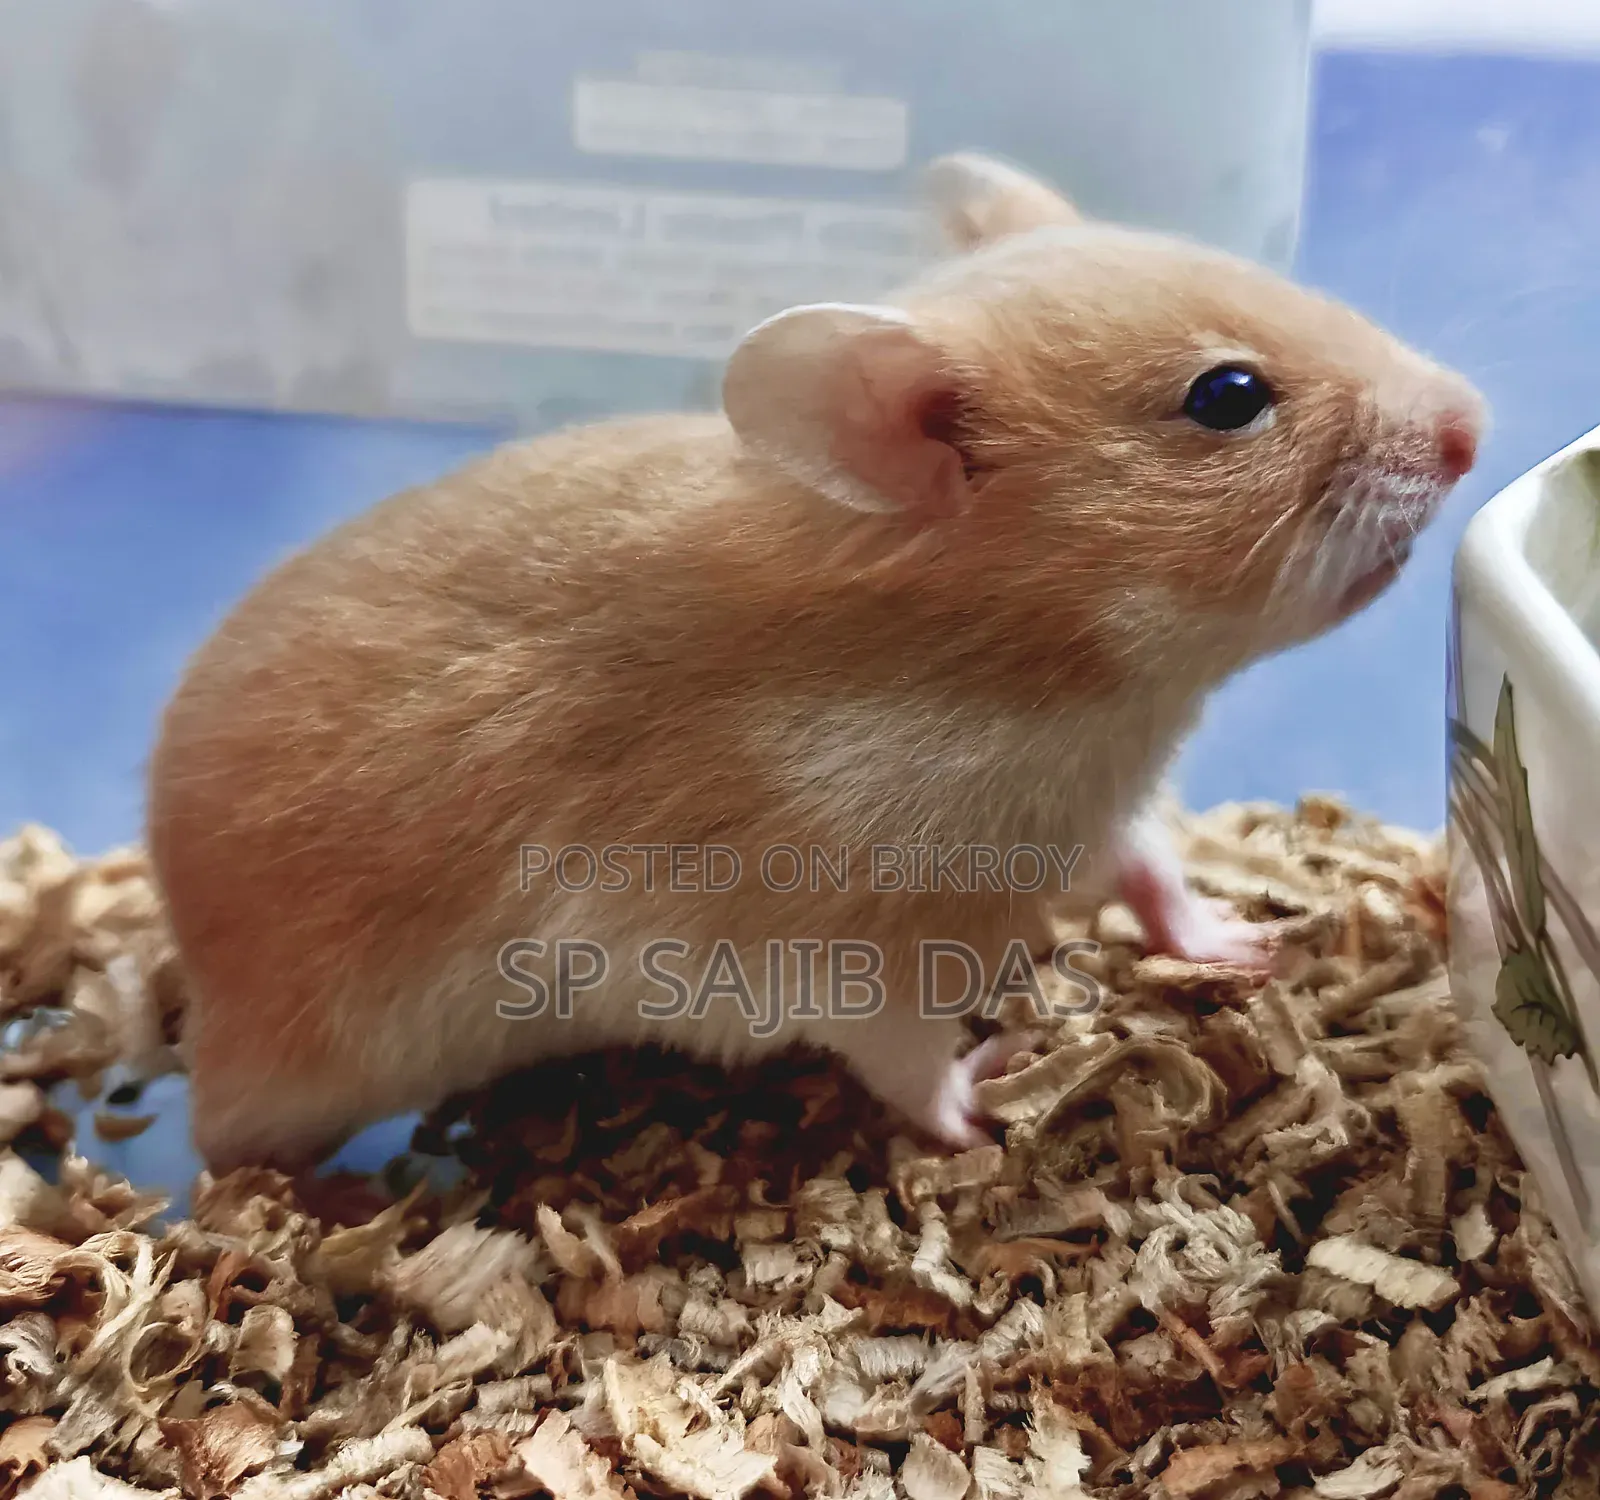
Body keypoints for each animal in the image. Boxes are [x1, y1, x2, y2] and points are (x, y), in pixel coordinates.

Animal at [146, 152, 1484, 1173]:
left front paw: (1248, 946)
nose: (1473, 424)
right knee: (220, 1154)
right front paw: (1000, 1086)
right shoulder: (823, 960)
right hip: (292, 1074)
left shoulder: (1102, 813)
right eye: (1227, 396)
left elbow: (1155, 876)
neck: (1051, 684)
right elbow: (908, 1065)